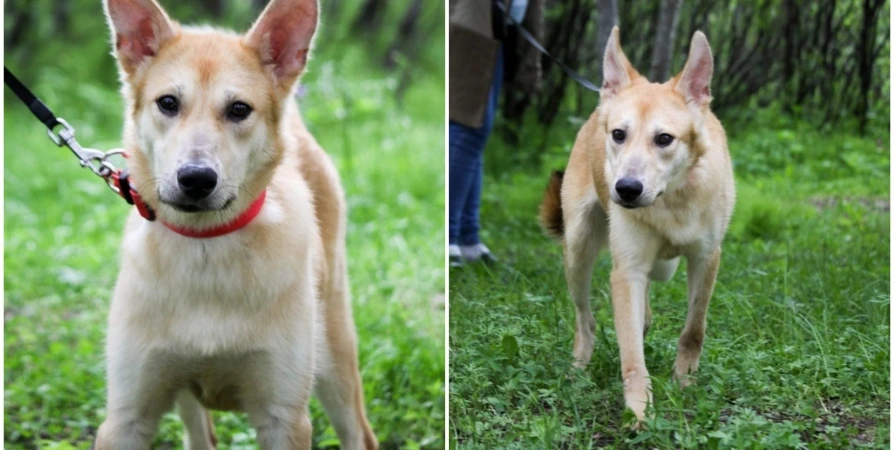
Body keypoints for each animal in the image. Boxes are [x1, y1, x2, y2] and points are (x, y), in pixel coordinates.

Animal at [96, 0, 376, 450]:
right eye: (168, 102)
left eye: (239, 109)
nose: (195, 179)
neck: (206, 247)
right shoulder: (126, 417)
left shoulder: (284, 419)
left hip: (334, 355)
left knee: (358, 432)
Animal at [540, 27, 736, 422]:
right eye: (619, 134)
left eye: (664, 139)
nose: (626, 189)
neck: (671, 200)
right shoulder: (627, 270)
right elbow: (631, 353)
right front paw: (639, 411)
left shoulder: (706, 258)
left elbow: (694, 329)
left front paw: (684, 382)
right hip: (578, 252)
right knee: (585, 319)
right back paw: (578, 367)